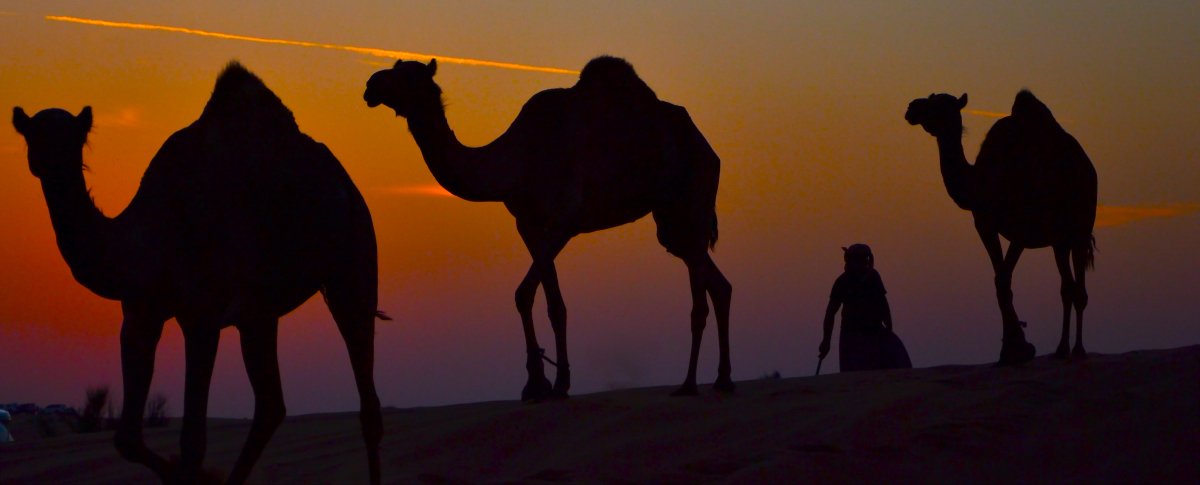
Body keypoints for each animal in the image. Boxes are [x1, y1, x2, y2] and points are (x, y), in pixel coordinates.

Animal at [13, 63, 385, 485]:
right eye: (33, 135)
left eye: (73, 139)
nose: (50, 162)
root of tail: (347, 185)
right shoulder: (140, 316)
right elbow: (127, 438)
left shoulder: (202, 318)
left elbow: (192, 442)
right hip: (260, 314)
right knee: (271, 403)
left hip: (353, 260)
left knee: (366, 398)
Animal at [363, 56, 733, 400]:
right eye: (394, 67)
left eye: (408, 76)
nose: (371, 84)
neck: (514, 160)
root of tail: (708, 148)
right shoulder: (527, 223)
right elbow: (553, 304)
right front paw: (556, 383)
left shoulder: (564, 219)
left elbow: (524, 293)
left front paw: (537, 383)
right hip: (670, 222)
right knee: (717, 283)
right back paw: (723, 379)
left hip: (693, 193)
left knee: (699, 296)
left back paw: (689, 384)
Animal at [905, 90, 1097, 365]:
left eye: (938, 104)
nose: (911, 107)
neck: (979, 183)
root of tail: (1088, 169)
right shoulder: (986, 224)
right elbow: (1000, 281)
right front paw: (1013, 348)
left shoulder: (1015, 229)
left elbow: (1004, 281)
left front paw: (1017, 349)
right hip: (1064, 239)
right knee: (1069, 286)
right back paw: (1064, 349)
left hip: (1076, 230)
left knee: (1075, 288)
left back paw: (1076, 349)